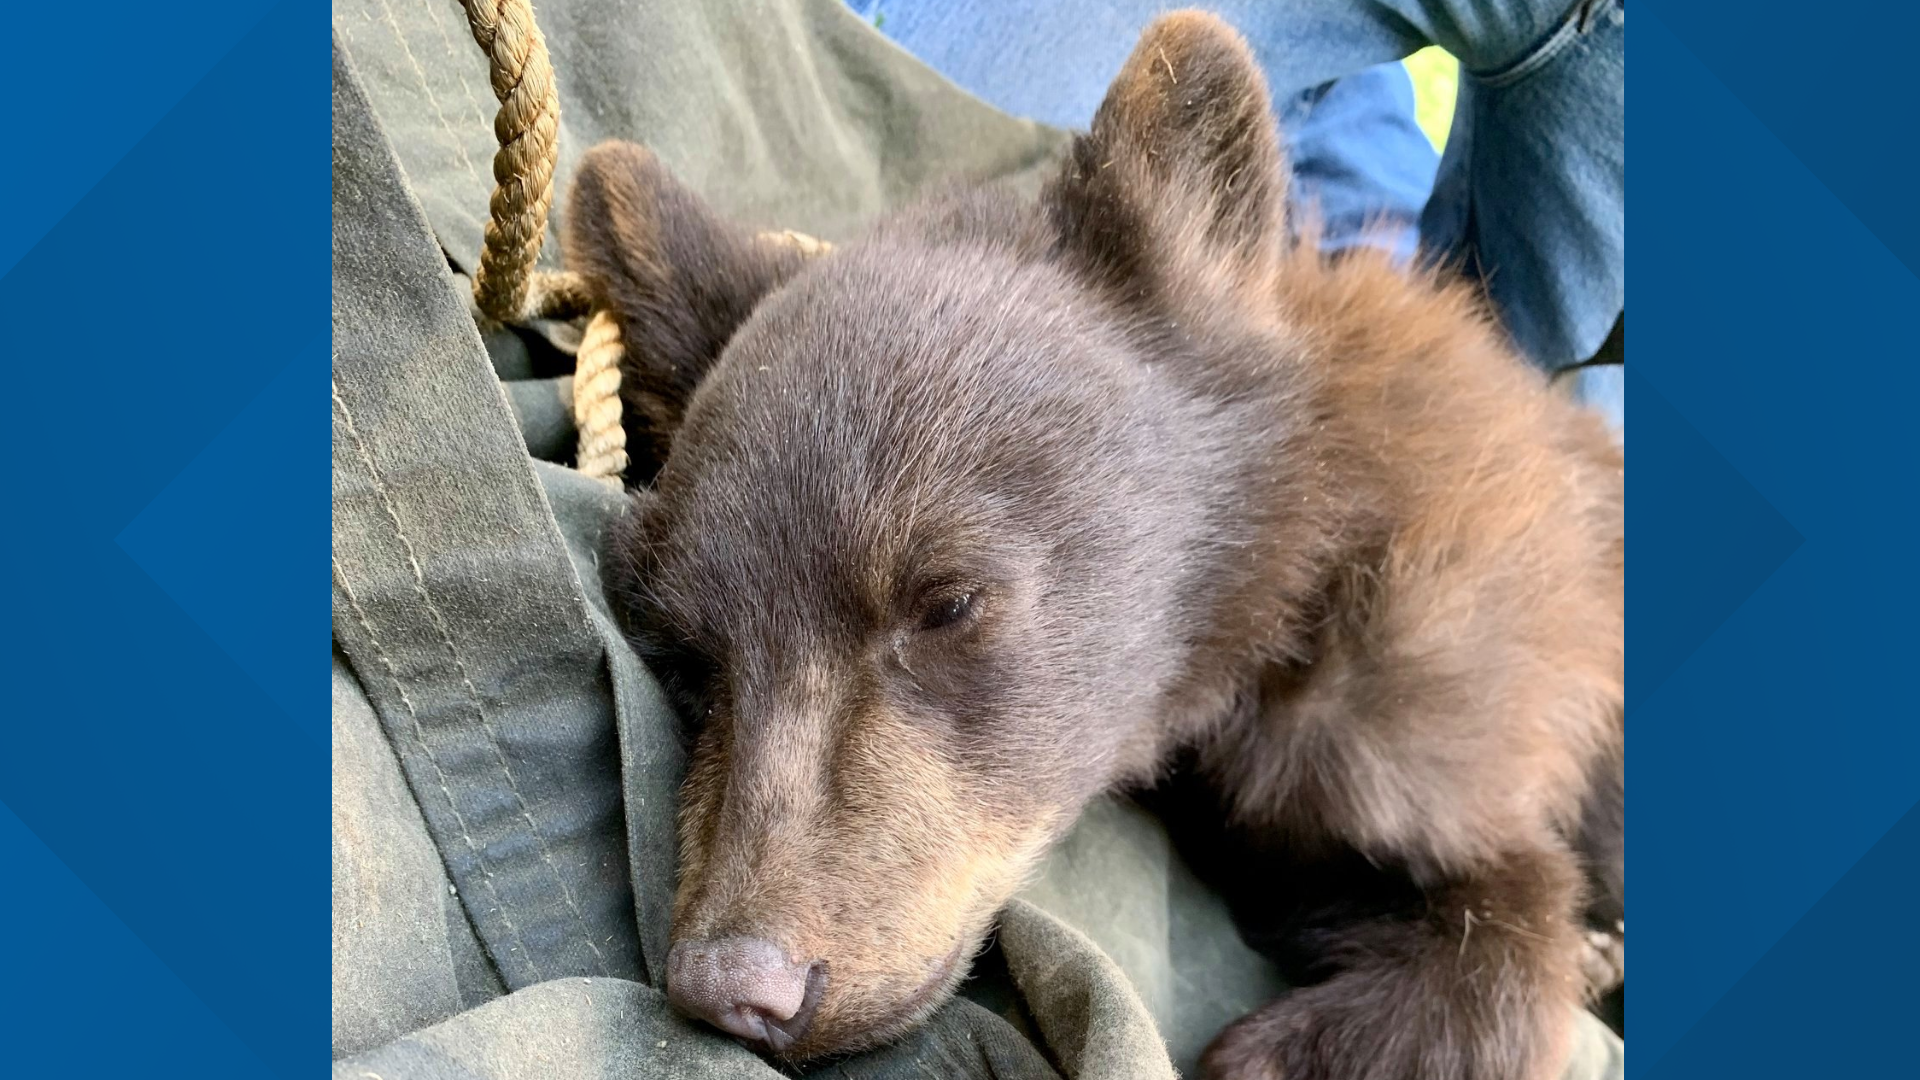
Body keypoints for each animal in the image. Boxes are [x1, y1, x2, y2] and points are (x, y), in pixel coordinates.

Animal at [563, 11, 1624, 1080]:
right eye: (688, 657)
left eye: (947, 603)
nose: (734, 986)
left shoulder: (1438, 701)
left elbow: (1506, 900)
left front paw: (1283, 1045)